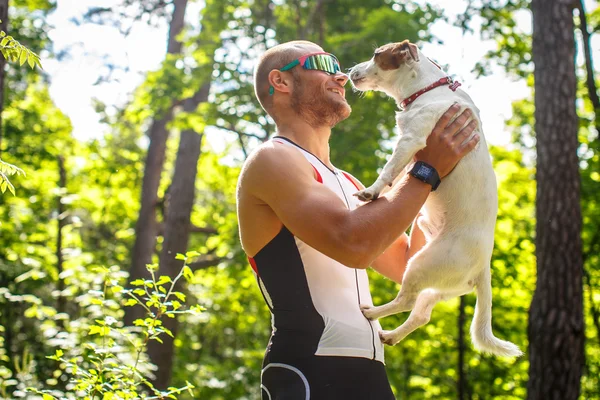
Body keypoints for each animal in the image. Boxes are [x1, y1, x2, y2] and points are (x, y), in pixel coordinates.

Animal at [350, 40, 524, 358]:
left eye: (377, 55)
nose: (350, 72)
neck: (427, 89)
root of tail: (482, 269)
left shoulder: (411, 140)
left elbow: (388, 170)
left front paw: (371, 191)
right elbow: (396, 173)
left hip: (421, 265)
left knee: (406, 301)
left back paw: (372, 313)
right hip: (438, 285)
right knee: (421, 314)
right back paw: (392, 335)